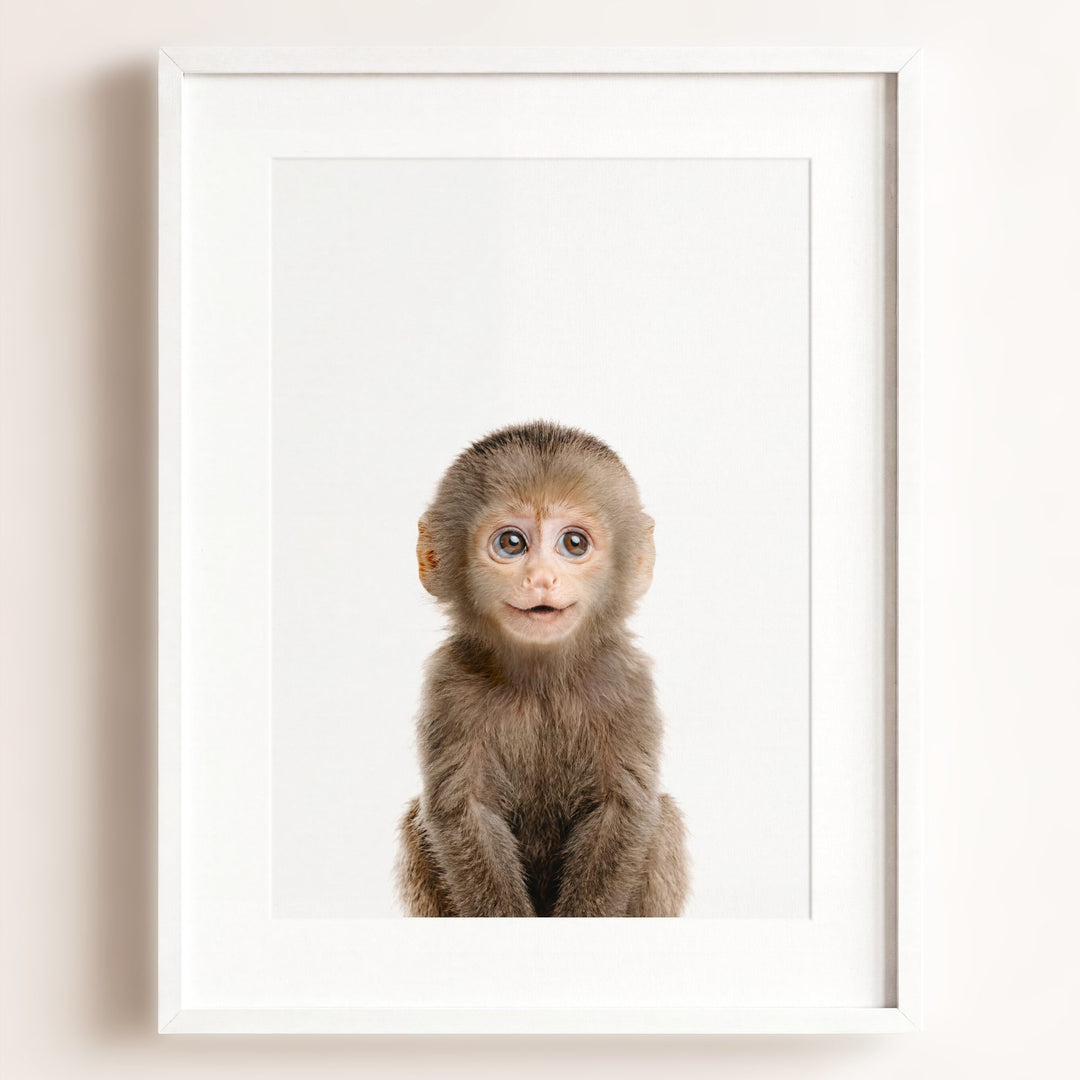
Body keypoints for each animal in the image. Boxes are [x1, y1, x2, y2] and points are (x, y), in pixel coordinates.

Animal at [396, 420, 688, 917]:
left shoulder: (626, 682)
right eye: (511, 543)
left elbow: (623, 809)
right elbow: (463, 812)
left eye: (574, 543)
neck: (541, 682)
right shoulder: (449, 683)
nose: (541, 579)